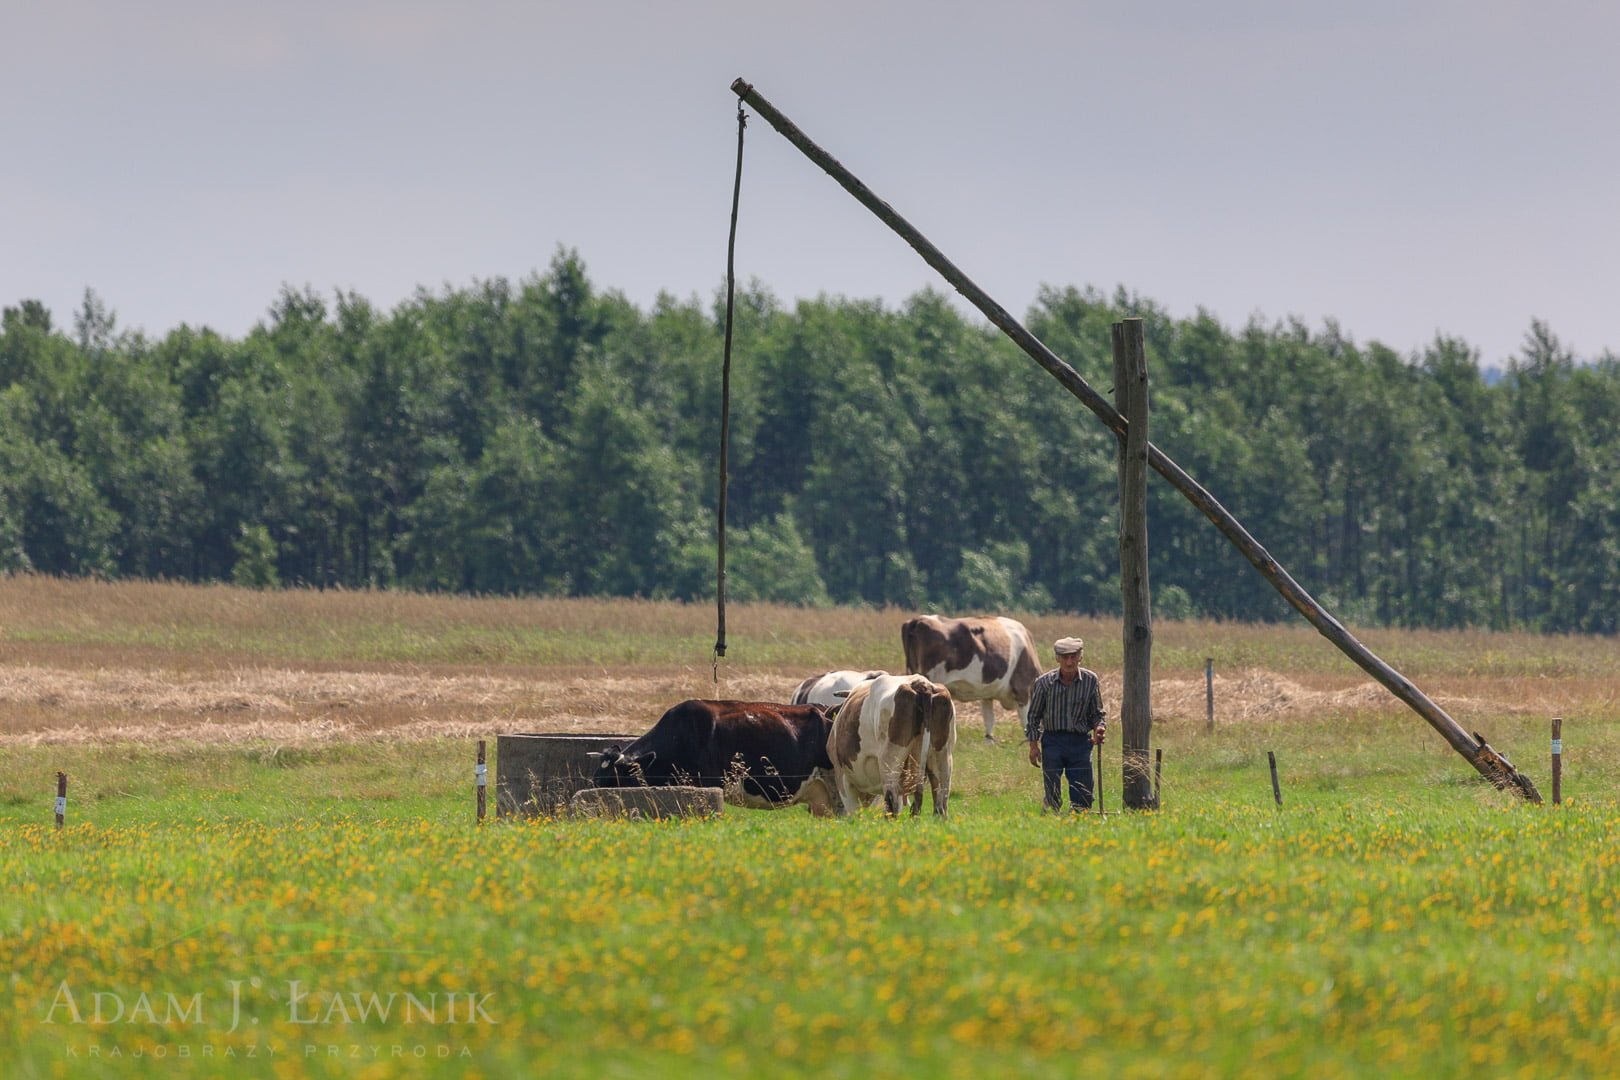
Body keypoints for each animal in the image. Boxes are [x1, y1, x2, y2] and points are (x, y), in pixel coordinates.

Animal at [900, 615, 1036, 744]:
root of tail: (918, 620)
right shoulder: (1023, 688)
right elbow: (1025, 719)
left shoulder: (987, 694)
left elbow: (989, 719)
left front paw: (989, 742)